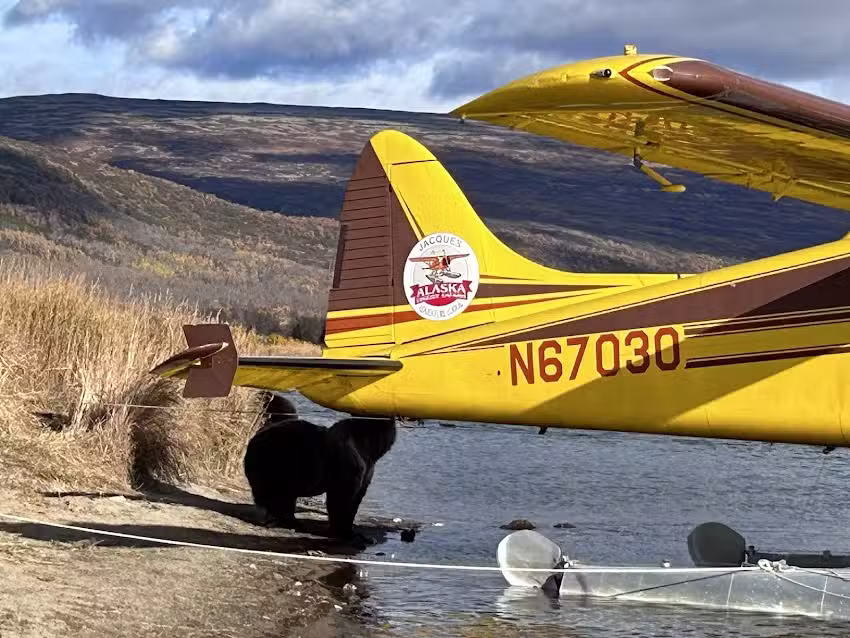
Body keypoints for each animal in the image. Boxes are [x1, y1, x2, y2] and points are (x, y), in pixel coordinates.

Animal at [243, 407, 397, 539]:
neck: (368, 449)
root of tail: (252, 442)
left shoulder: (367, 470)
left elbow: (356, 497)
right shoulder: (348, 463)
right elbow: (342, 497)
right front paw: (347, 533)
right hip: (278, 464)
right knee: (279, 495)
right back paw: (290, 521)